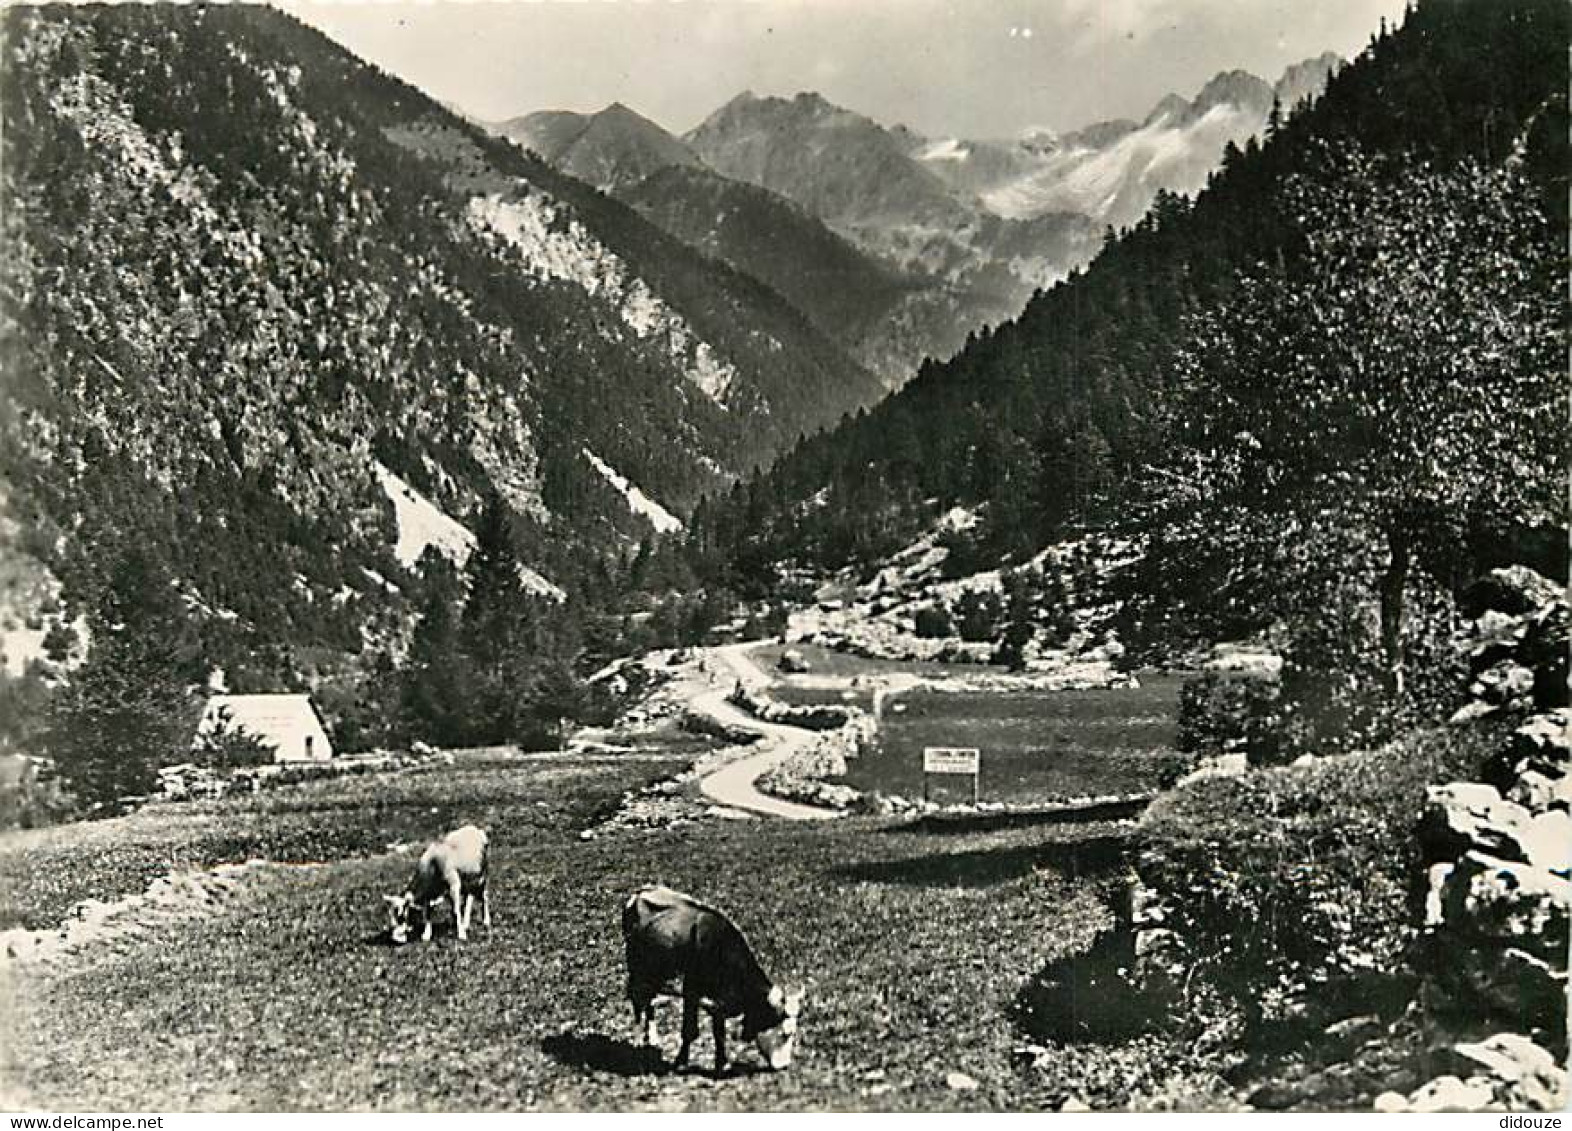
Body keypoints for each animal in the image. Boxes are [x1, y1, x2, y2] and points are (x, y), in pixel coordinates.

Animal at [619, 887, 804, 1069]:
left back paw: (653, 1038)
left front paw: (722, 1063)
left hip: (658, 970)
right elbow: (690, 1031)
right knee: (637, 998)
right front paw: (681, 1061)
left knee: (649, 998)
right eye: (785, 1034)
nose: (784, 1066)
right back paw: (637, 1040)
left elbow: (718, 1032)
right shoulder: (691, 990)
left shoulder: (718, 1000)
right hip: (637, 966)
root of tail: (642, 891)